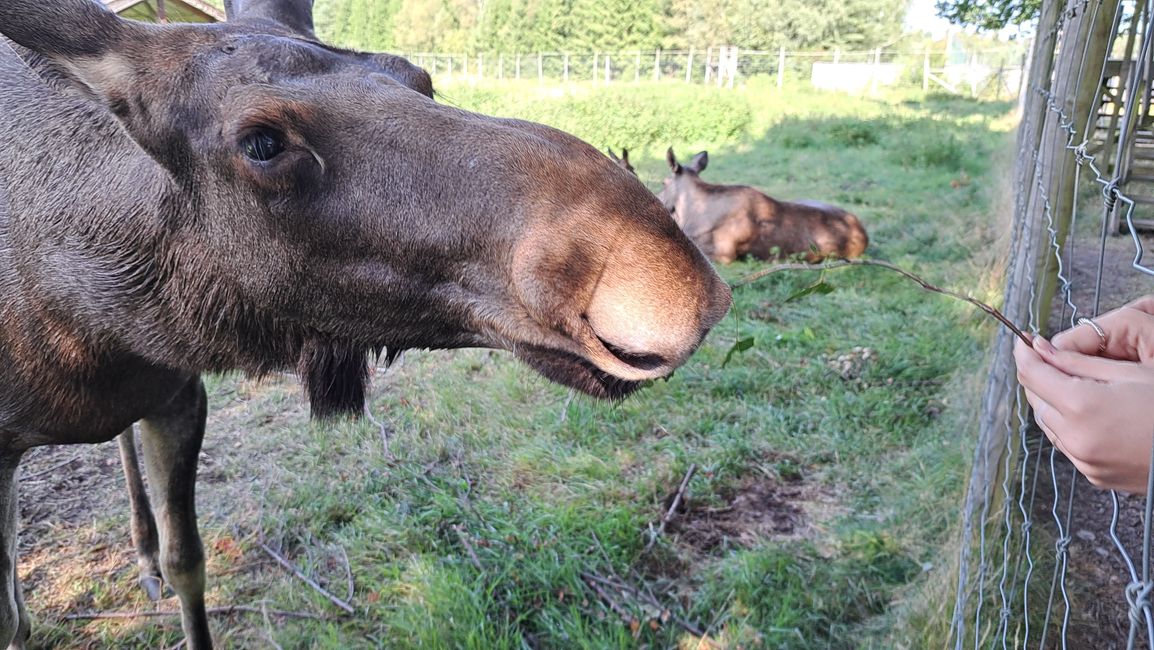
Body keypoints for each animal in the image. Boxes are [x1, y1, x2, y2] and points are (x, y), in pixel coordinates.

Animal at [0, 2, 729, 646]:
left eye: (419, 77)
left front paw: (165, 563)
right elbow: (16, 619)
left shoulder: (180, 391)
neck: (96, 326)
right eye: (261, 142)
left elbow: (190, 563)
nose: (673, 284)